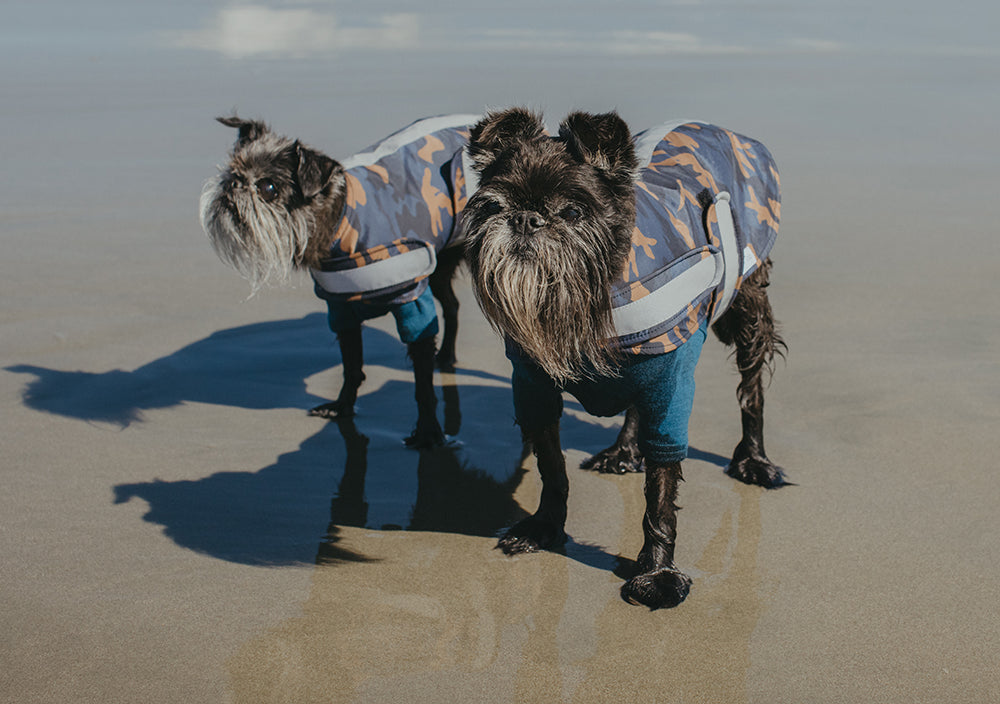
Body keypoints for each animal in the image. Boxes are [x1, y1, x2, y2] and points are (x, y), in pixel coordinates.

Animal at [462, 107, 788, 608]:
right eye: (493, 206)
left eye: (573, 211)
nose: (527, 219)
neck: (591, 299)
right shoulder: (533, 387)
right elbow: (551, 466)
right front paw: (545, 527)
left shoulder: (670, 387)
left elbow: (661, 492)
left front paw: (656, 573)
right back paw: (624, 451)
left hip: (748, 314)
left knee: (751, 390)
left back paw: (753, 460)